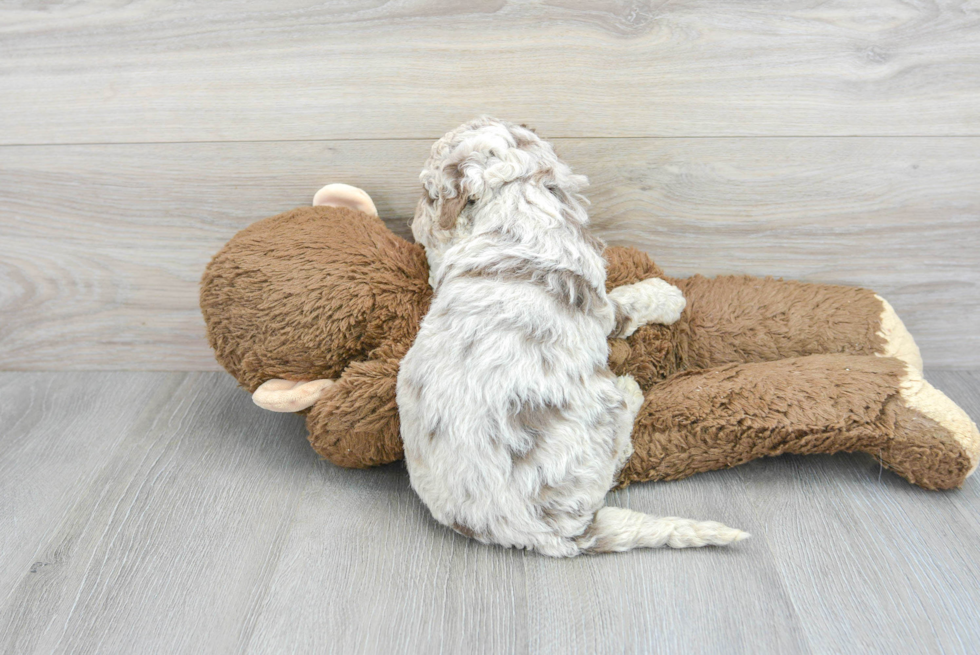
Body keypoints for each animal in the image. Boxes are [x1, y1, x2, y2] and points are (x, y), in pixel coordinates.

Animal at [394, 115, 748, 556]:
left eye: (427, 193)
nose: (413, 225)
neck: (516, 196)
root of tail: (552, 535)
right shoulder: (603, 307)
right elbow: (629, 302)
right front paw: (669, 296)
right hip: (600, 412)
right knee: (619, 448)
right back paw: (632, 391)